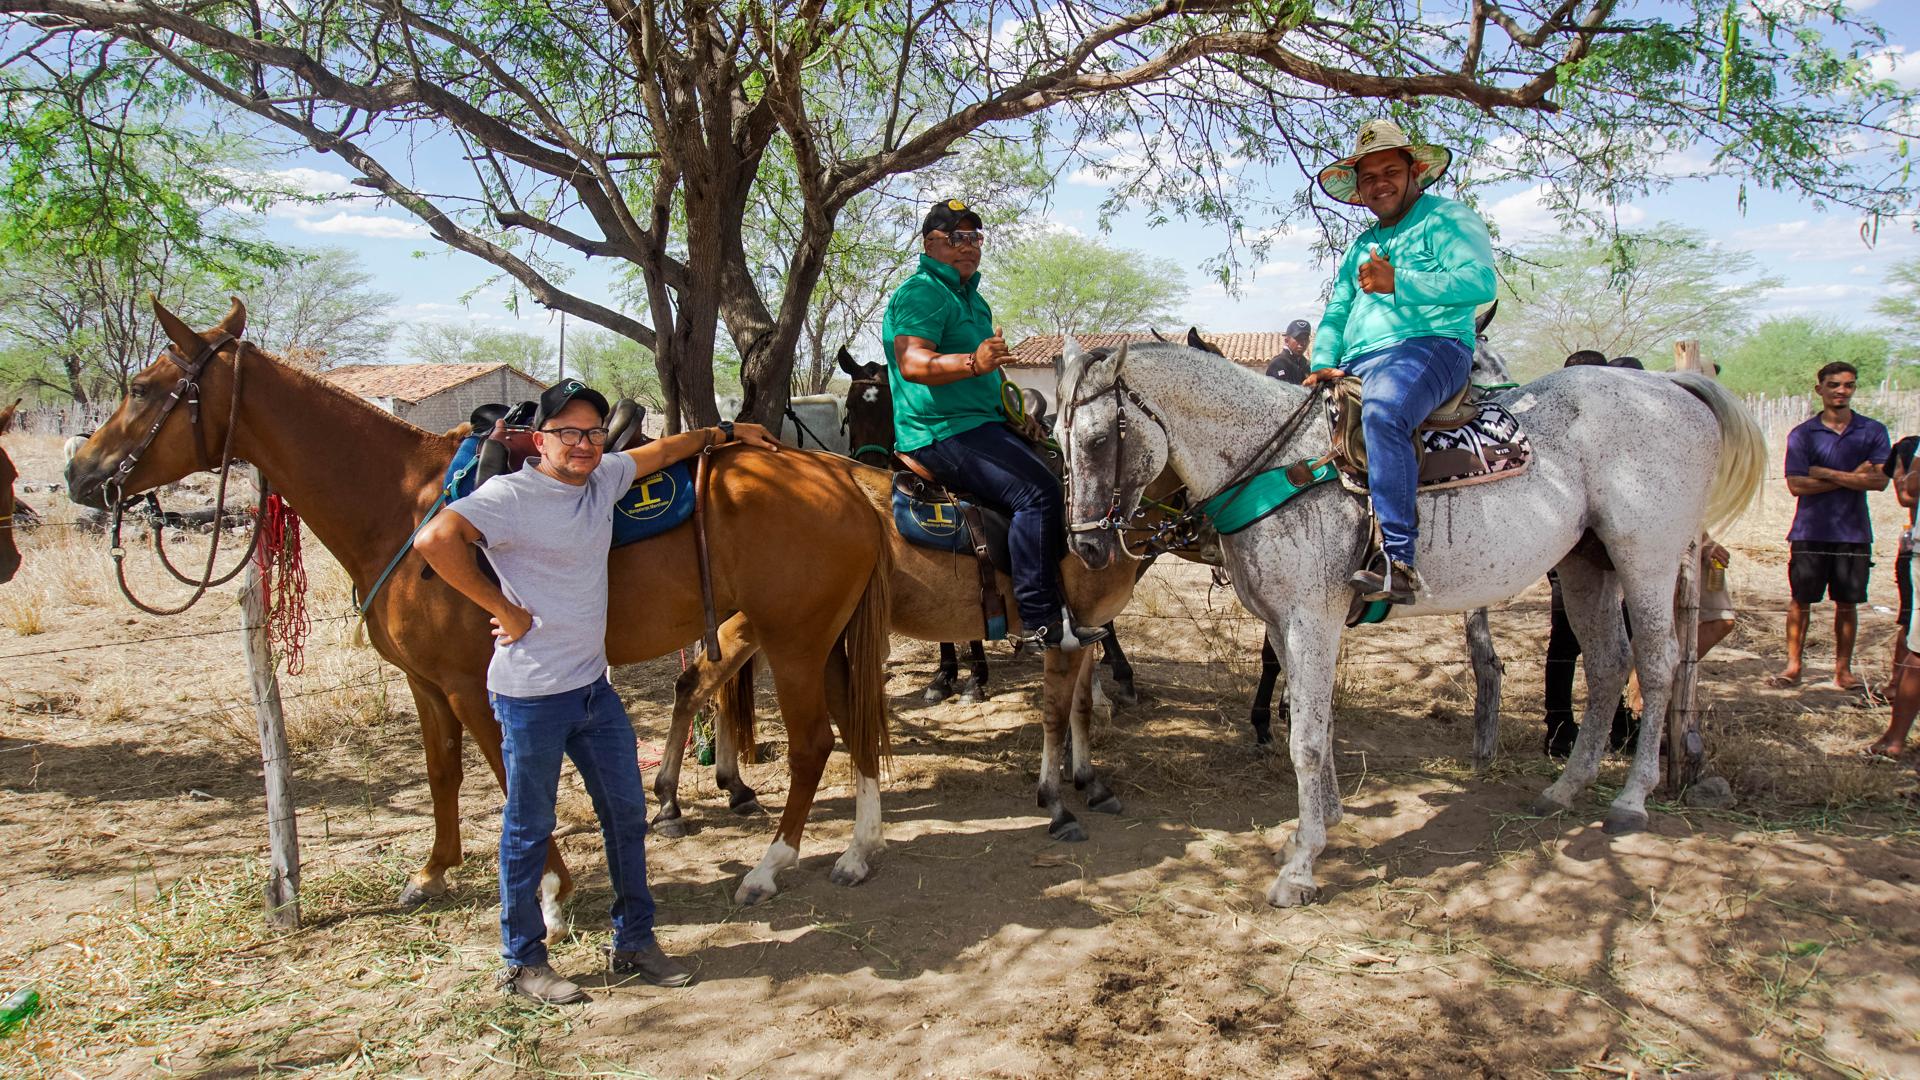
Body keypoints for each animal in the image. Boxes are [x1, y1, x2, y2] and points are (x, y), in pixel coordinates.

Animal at [66, 298, 897, 910]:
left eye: (141, 388)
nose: (82, 473)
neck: (401, 504)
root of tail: (841, 479)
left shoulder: (475, 684)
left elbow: (507, 777)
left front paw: (552, 890)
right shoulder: (427, 683)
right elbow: (444, 773)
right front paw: (434, 870)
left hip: (792, 642)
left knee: (815, 743)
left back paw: (769, 866)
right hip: (819, 641)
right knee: (853, 728)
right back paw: (858, 852)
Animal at [1058, 338, 1763, 906]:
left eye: (1096, 440)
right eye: (1059, 442)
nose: (1087, 547)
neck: (1281, 463)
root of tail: (1672, 388)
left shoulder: (1310, 619)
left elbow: (1304, 739)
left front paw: (1301, 867)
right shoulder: (1286, 624)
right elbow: (1317, 724)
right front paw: (1325, 823)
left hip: (1646, 557)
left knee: (1658, 664)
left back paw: (1630, 800)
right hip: (1587, 563)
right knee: (1612, 662)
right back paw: (1566, 790)